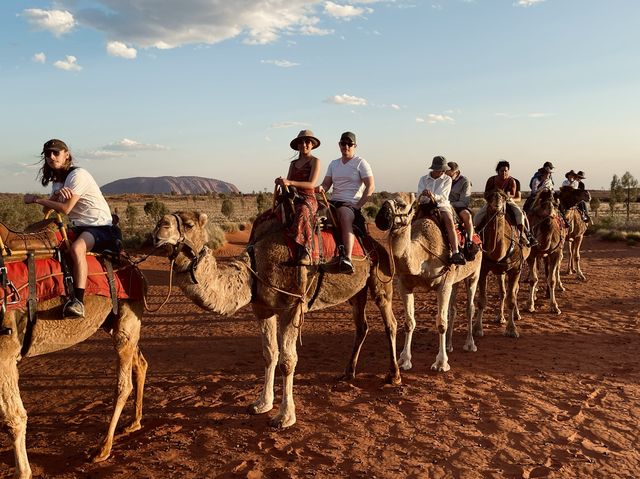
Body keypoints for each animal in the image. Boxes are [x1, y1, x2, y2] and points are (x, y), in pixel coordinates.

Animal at [0, 280, 146, 478]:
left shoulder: (5, 352)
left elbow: (13, 420)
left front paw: (23, 473)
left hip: (126, 321)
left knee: (123, 385)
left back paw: (103, 449)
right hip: (115, 323)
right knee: (140, 364)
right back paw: (134, 423)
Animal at [152, 212, 398, 430]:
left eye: (189, 224)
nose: (158, 230)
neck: (255, 266)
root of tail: (376, 244)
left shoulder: (292, 307)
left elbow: (287, 361)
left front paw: (284, 417)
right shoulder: (263, 309)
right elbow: (269, 354)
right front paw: (262, 404)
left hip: (381, 279)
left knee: (390, 323)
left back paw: (393, 375)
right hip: (357, 291)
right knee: (361, 326)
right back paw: (348, 372)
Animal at [376, 193, 480, 374]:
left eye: (402, 204)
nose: (381, 217)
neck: (421, 254)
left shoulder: (443, 284)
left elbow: (441, 322)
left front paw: (441, 363)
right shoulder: (404, 285)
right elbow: (409, 322)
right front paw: (404, 360)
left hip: (474, 274)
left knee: (470, 307)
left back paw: (470, 344)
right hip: (455, 281)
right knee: (453, 309)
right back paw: (449, 345)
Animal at [476, 189, 528, 340]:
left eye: (504, 197)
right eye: (489, 197)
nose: (497, 203)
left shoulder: (515, 269)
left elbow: (511, 298)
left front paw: (512, 330)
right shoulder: (483, 269)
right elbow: (482, 300)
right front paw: (477, 329)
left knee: (514, 292)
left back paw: (516, 315)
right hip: (500, 271)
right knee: (502, 292)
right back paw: (500, 317)